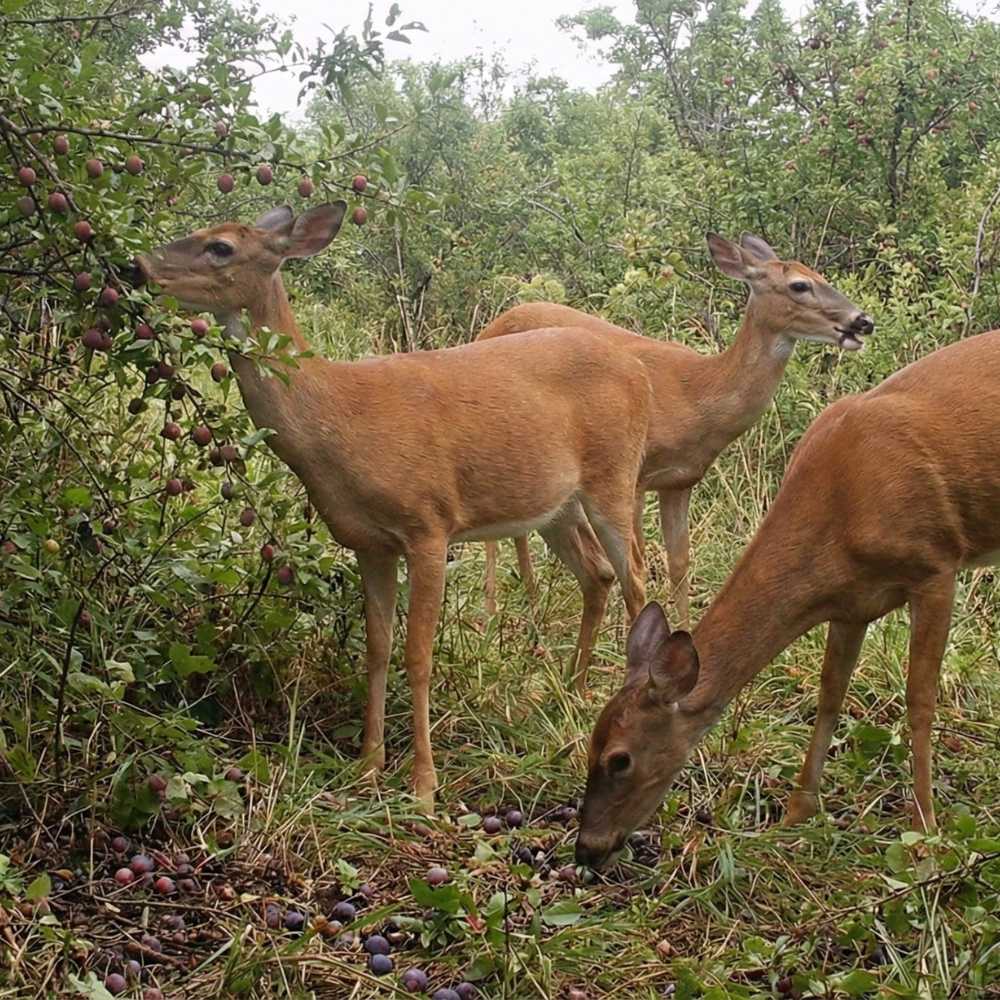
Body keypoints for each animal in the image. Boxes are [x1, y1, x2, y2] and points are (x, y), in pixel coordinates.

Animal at [135, 202, 652, 811]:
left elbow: (418, 656)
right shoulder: (368, 543)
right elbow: (377, 648)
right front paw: (368, 765)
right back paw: (570, 692)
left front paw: (424, 785)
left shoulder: (429, 524)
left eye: (221, 247)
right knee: (597, 574)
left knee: (637, 578)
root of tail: (640, 372)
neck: (341, 419)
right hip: (555, 505)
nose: (138, 263)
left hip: (614, 475)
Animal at [477, 235, 875, 631]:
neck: (697, 394)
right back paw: (493, 610)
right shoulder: (637, 477)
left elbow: (680, 562)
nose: (863, 321)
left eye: (819, 274)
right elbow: (636, 557)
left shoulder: (679, 482)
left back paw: (531, 602)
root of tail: (493, 324)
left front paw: (682, 628)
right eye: (799, 285)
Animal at [573, 328, 1000, 869]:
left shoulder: (936, 566)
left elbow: (920, 702)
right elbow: (830, 694)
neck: (841, 509)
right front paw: (796, 814)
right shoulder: (853, 603)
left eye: (620, 759)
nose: (586, 848)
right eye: (590, 742)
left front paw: (925, 832)